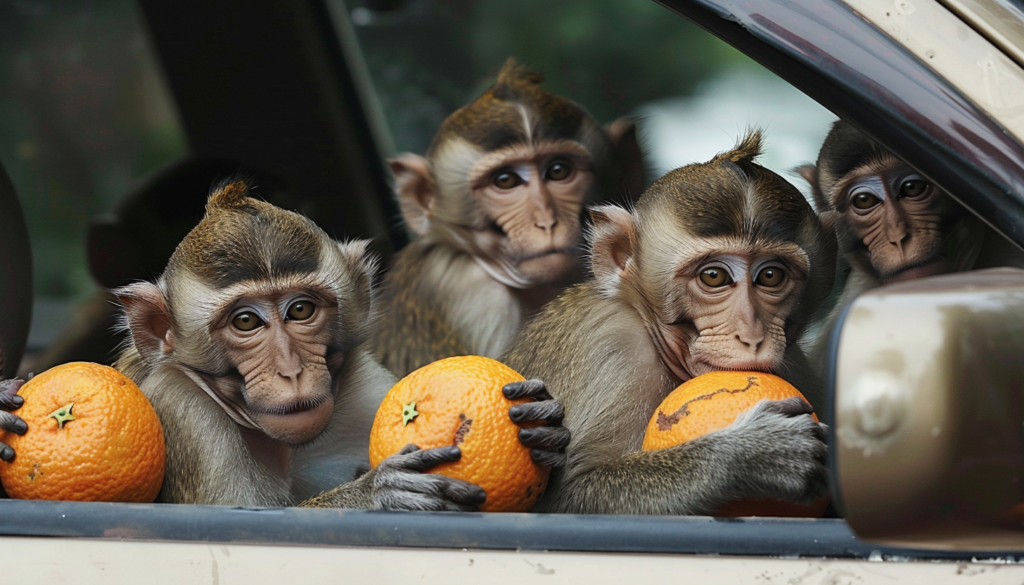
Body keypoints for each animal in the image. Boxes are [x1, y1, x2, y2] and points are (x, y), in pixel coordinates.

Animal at [110, 181, 569, 510]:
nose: (291, 371)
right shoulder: (183, 410)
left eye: (300, 310)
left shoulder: (364, 386)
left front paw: (547, 428)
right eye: (245, 321)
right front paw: (377, 493)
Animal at [503, 130, 831, 514]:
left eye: (770, 276)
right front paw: (749, 455)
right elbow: (569, 497)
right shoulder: (615, 352)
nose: (751, 335)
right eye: (714, 277)